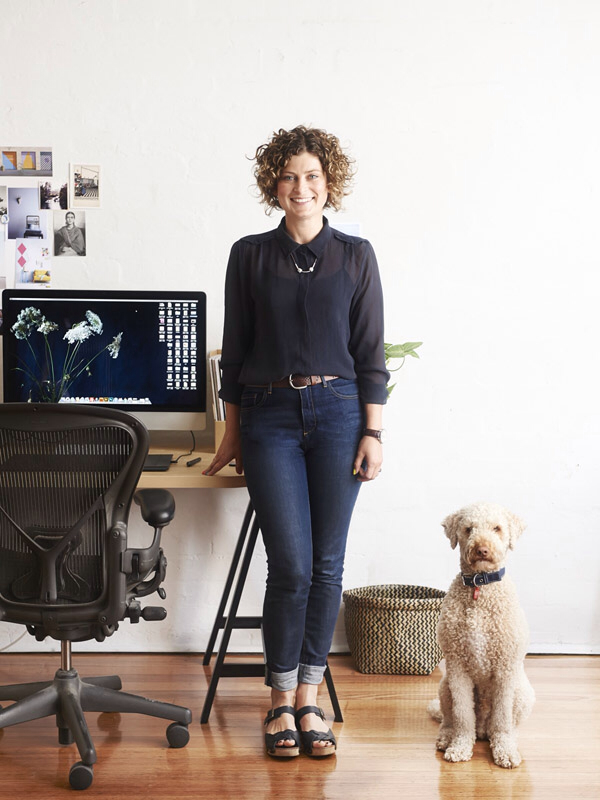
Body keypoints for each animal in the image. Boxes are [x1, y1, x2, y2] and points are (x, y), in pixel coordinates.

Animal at [428, 500, 536, 768]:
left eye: (497, 528)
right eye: (469, 528)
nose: (482, 549)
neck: (481, 586)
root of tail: (483, 729)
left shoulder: (505, 669)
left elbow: (502, 718)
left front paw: (505, 751)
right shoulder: (457, 667)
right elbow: (462, 715)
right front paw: (459, 747)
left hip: (523, 694)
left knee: (505, 724)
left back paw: (505, 739)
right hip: (444, 687)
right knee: (448, 718)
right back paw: (446, 737)